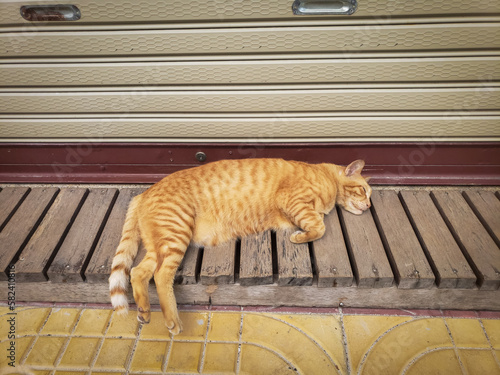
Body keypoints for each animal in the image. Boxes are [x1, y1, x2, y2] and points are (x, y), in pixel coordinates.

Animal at [111, 159, 374, 334]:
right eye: (363, 190)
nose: (370, 206)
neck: (326, 178)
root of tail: (143, 193)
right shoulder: (294, 200)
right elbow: (319, 226)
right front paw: (299, 236)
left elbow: (317, 223)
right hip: (176, 234)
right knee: (160, 275)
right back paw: (172, 321)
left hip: (161, 245)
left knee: (137, 272)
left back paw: (144, 310)